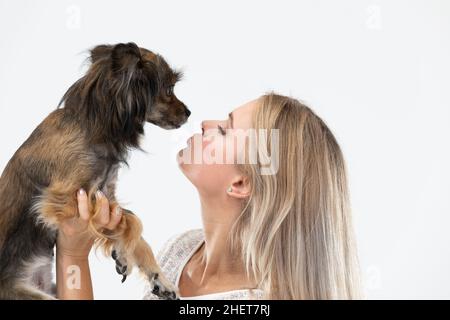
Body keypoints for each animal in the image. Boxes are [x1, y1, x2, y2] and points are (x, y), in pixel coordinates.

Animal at [0, 42, 189, 300]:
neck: (95, 128)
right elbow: (132, 223)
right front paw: (125, 253)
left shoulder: (106, 194)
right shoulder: (62, 199)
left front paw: (157, 276)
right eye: (169, 89)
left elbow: (133, 225)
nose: (188, 112)